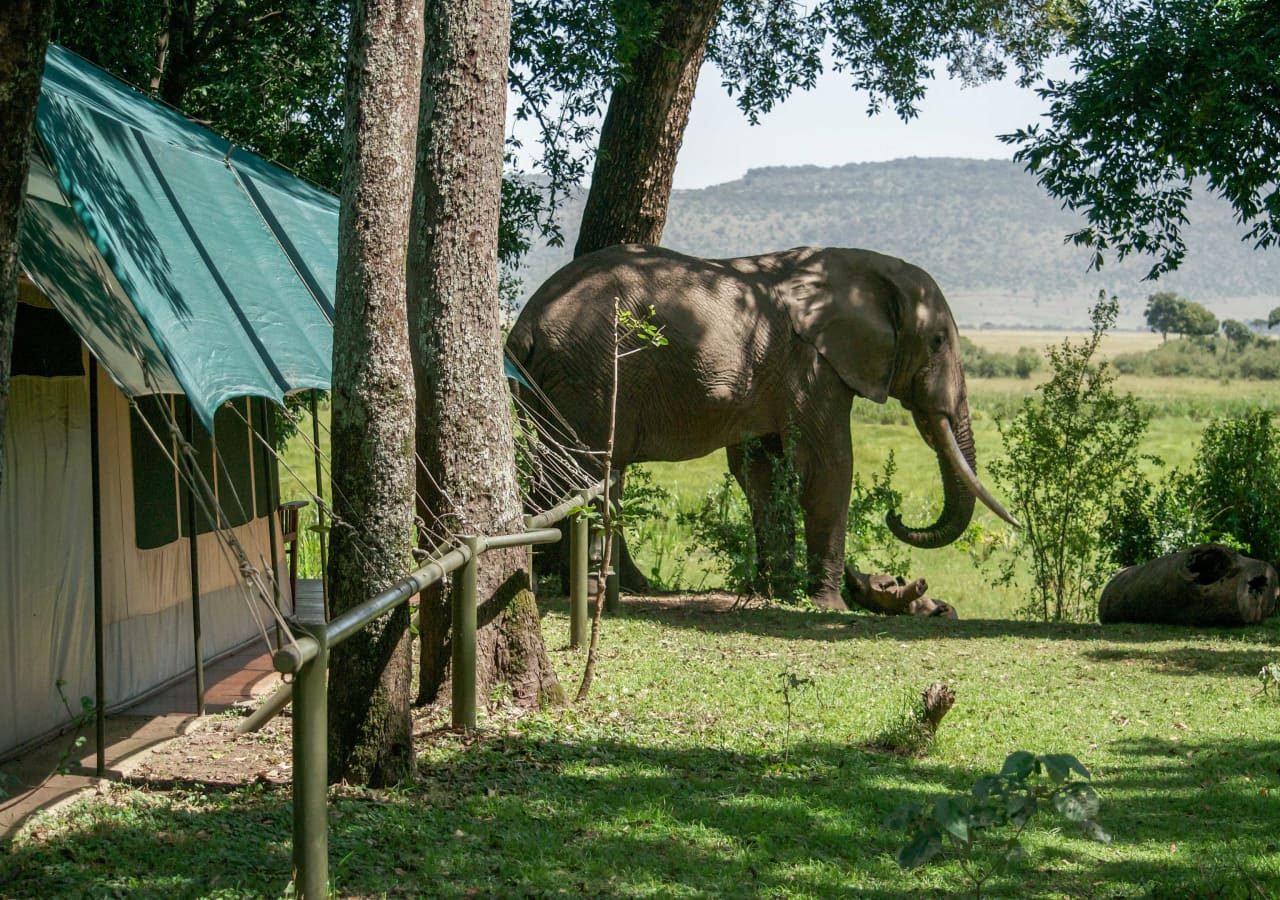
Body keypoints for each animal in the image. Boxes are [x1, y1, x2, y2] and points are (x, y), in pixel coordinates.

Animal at [504, 243, 1013, 609]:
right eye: (938, 341)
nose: (896, 515)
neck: (861, 266)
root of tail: (524, 324)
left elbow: (762, 474)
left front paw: (777, 593)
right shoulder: (813, 367)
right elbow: (829, 467)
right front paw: (828, 606)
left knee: (583, 475)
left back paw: (612, 583)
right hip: (590, 376)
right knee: (586, 473)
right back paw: (583, 588)